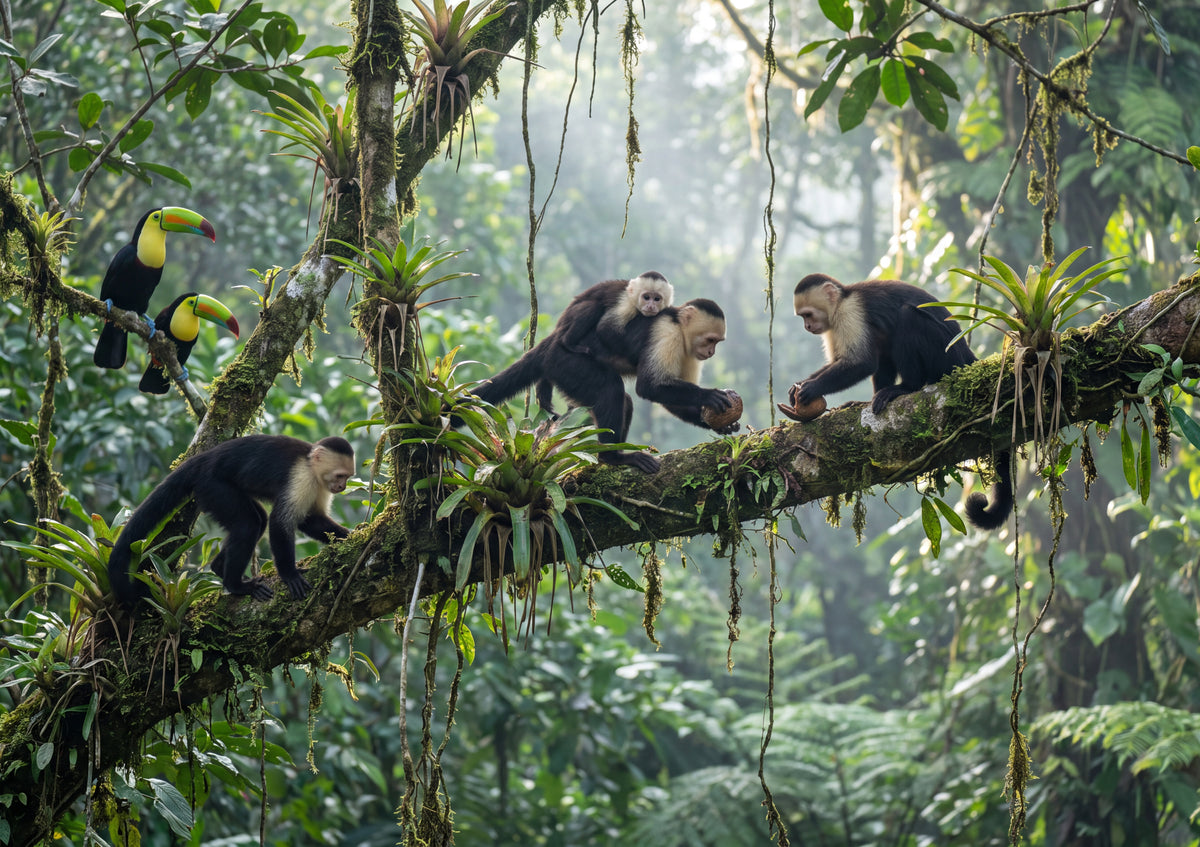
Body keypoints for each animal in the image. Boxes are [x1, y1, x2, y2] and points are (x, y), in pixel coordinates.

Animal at [107, 435, 355, 605]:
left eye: (347, 477)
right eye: (341, 475)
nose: (342, 487)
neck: (311, 467)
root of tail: (204, 458)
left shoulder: (320, 486)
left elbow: (310, 520)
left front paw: (349, 536)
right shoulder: (301, 478)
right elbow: (281, 521)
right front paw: (289, 574)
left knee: (257, 520)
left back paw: (219, 568)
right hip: (213, 486)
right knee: (248, 524)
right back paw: (235, 586)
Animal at [472, 298, 737, 474]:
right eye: (711, 340)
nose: (711, 353)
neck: (679, 329)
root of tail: (552, 342)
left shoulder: (689, 352)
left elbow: (668, 401)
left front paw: (720, 424)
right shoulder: (667, 334)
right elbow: (648, 387)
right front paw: (710, 396)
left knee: (623, 401)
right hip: (566, 362)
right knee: (611, 389)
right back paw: (612, 458)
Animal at [535, 271, 674, 411]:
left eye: (657, 299)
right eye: (646, 297)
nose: (651, 306)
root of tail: (560, 323)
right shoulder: (626, 303)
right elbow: (605, 328)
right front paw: (634, 356)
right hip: (569, 317)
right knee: (593, 306)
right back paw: (569, 343)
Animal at [789, 273, 1013, 530]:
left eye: (808, 315)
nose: (807, 327)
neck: (842, 300)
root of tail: (967, 355)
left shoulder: (850, 313)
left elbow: (862, 363)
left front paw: (812, 388)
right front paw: (799, 386)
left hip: (946, 356)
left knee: (907, 317)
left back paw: (906, 387)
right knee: (884, 346)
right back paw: (867, 400)